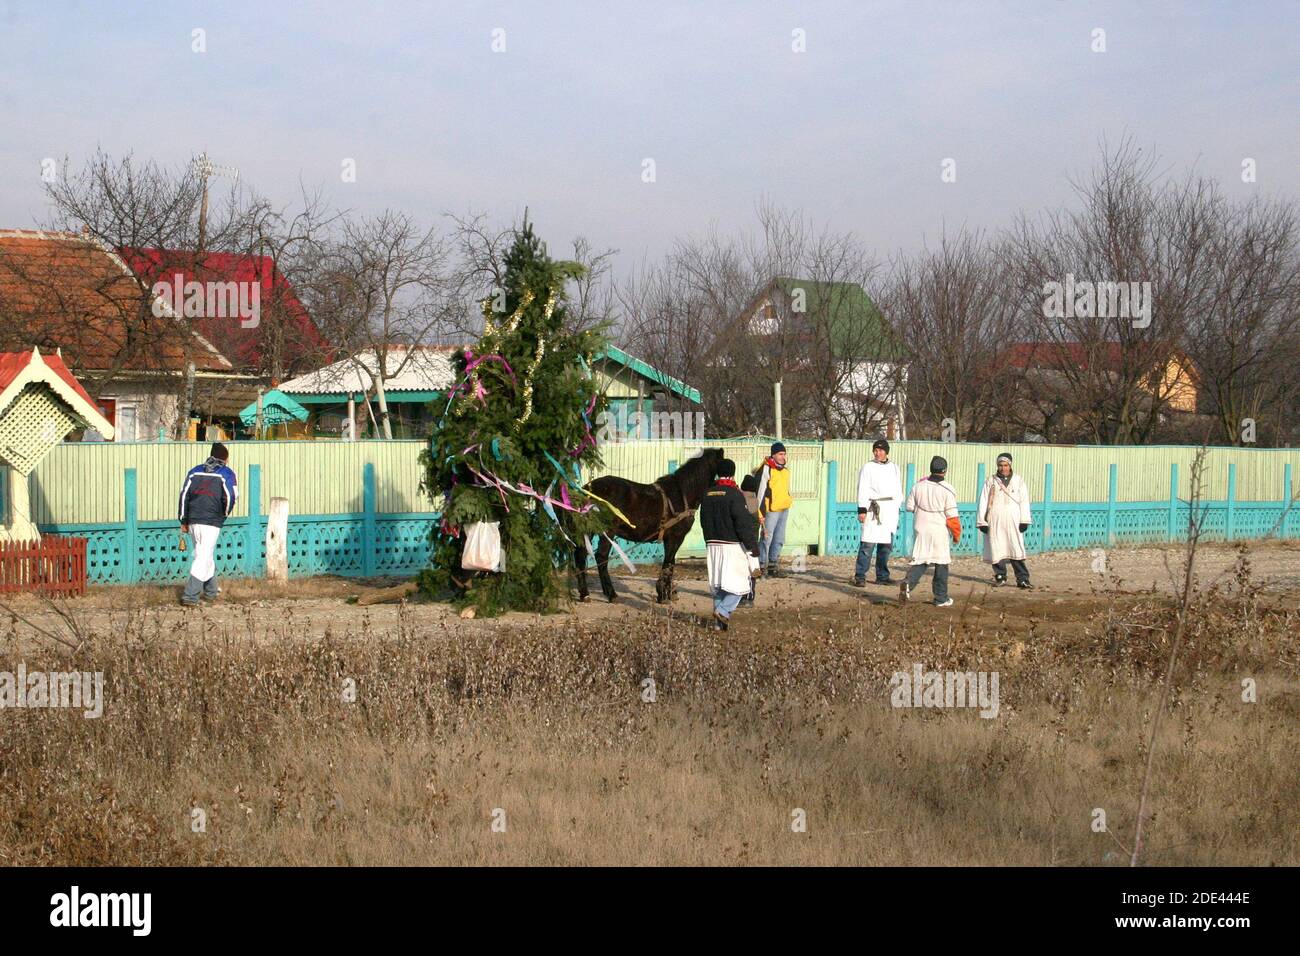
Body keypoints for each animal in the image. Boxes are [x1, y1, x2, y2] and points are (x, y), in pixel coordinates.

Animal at [574, 450, 728, 600]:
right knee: (601, 558)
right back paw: (611, 594)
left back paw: (585, 594)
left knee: (581, 555)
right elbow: (669, 563)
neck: (683, 493)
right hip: (608, 532)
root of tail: (588, 489)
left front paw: (665, 592)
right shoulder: (675, 537)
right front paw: (664, 595)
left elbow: (669, 563)